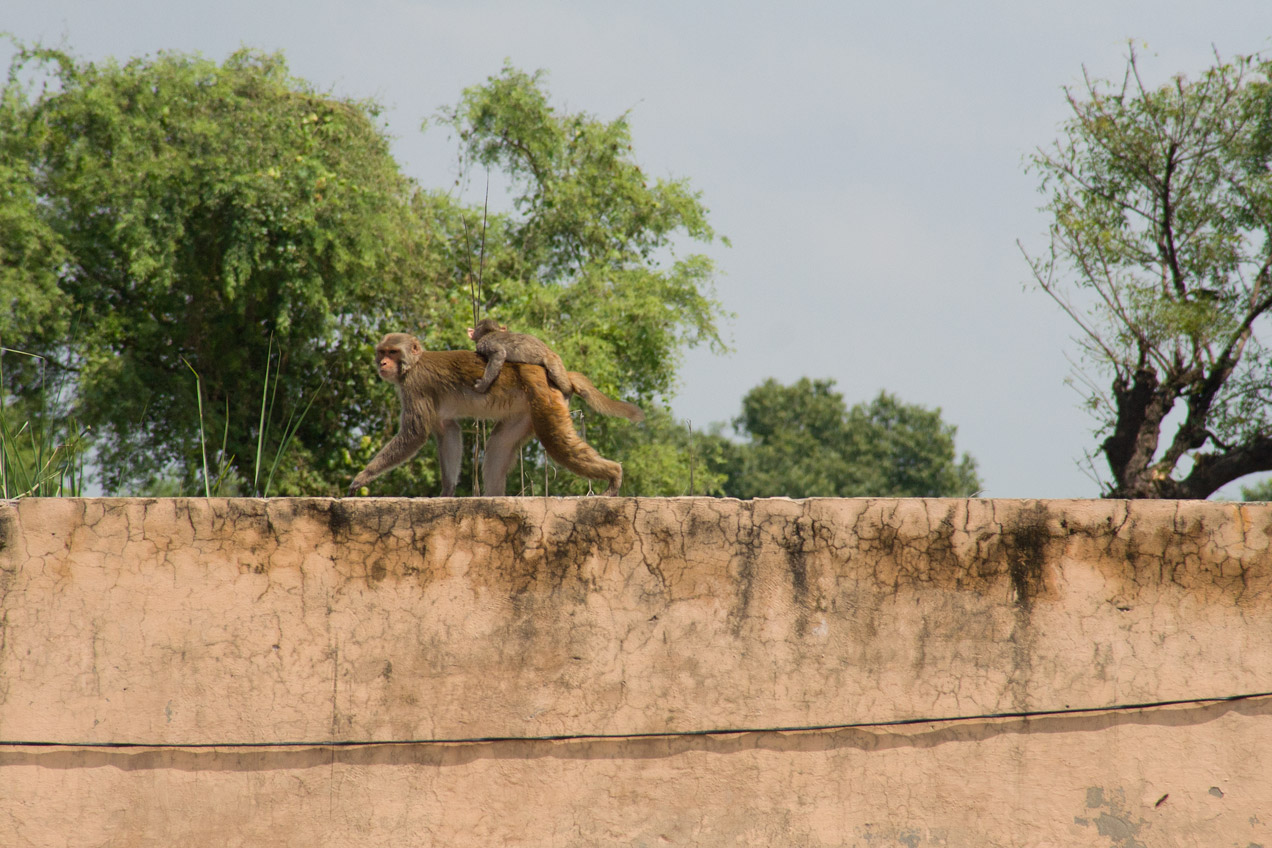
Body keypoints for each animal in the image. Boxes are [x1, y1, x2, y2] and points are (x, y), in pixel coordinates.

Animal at [347, 332, 644, 498]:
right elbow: (448, 431)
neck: (412, 365)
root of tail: (549, 372)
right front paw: (447, 491)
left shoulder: (415, 386)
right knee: (500, 445)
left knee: (557, 441)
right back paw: (494, 496)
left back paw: (614, 474)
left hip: (544, 398)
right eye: (382, 352)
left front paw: (364, 476)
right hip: (526, 411)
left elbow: (414, 435)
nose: (384, 362)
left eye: (393, 351)